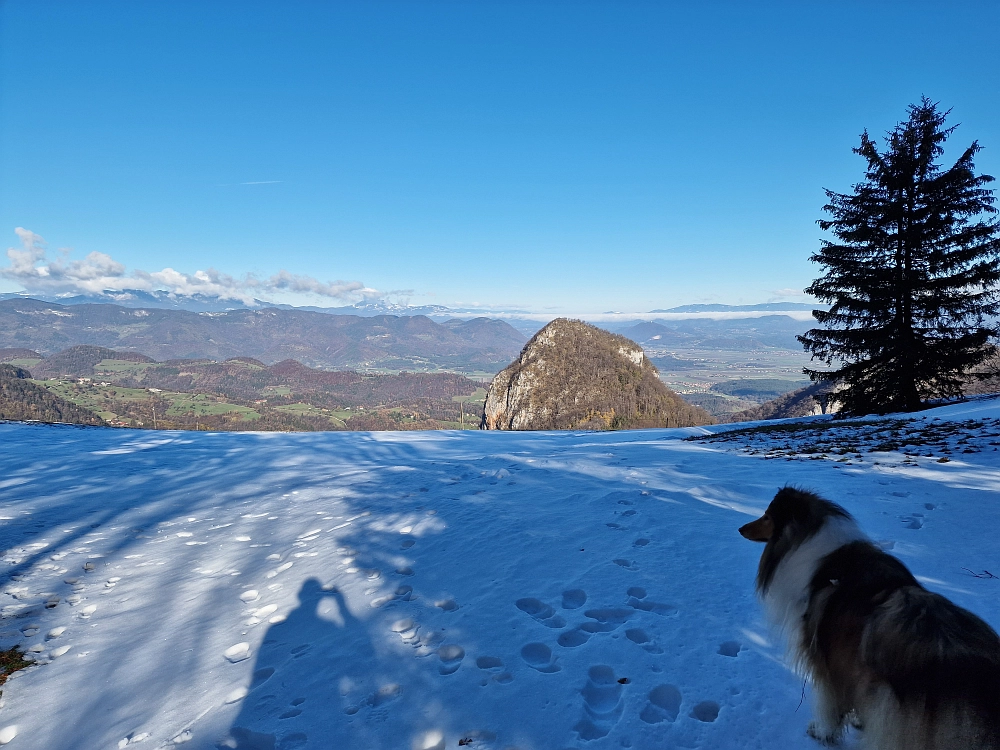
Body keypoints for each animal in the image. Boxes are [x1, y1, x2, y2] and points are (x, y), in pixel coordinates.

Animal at [740, 490, 1000, 748]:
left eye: (766, 516)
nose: (740, 528)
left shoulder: (825, 659)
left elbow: (829, 704)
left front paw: (823, 733)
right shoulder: (848, 661)